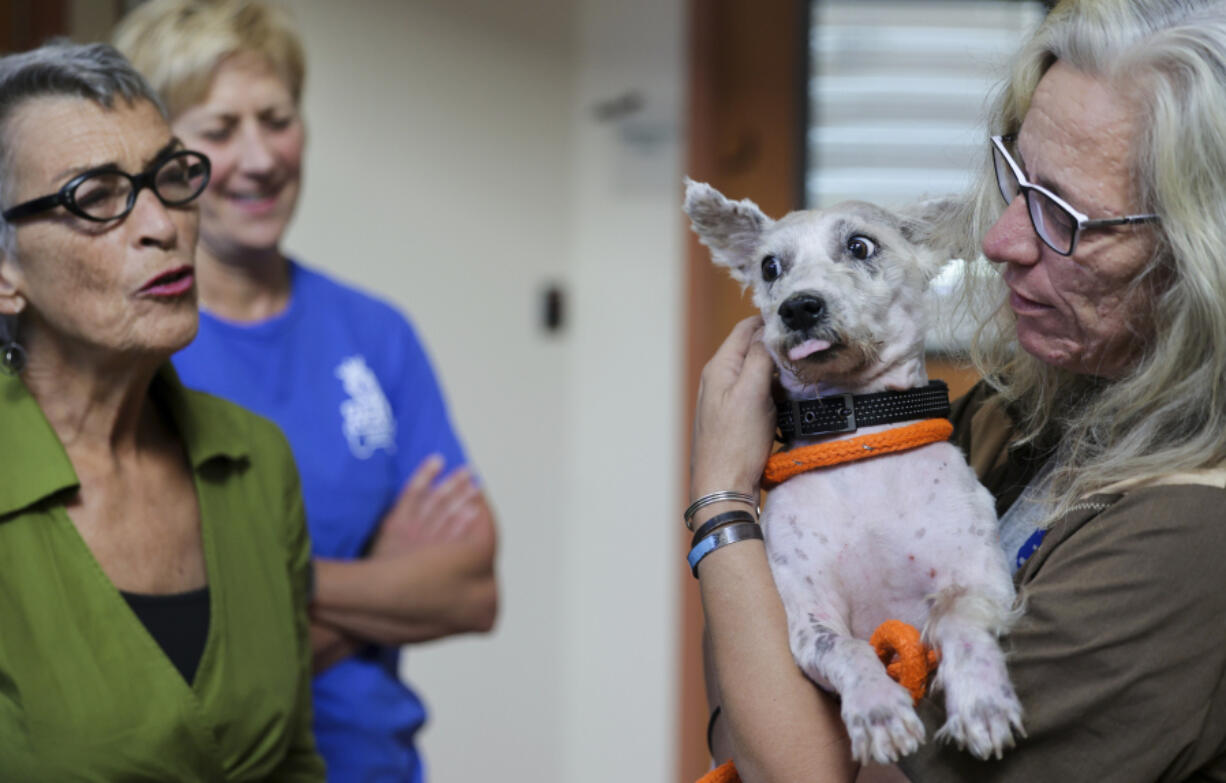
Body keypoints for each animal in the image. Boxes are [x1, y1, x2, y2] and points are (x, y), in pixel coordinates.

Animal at [686, 178, 1020, 764]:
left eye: (860, 246)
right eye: (770, 267)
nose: (798, 307)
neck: (859, 440)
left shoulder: (984, 581)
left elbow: (956, 619)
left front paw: (982, 700)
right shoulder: (809, 619)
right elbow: (848, 650)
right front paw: (877, 710)